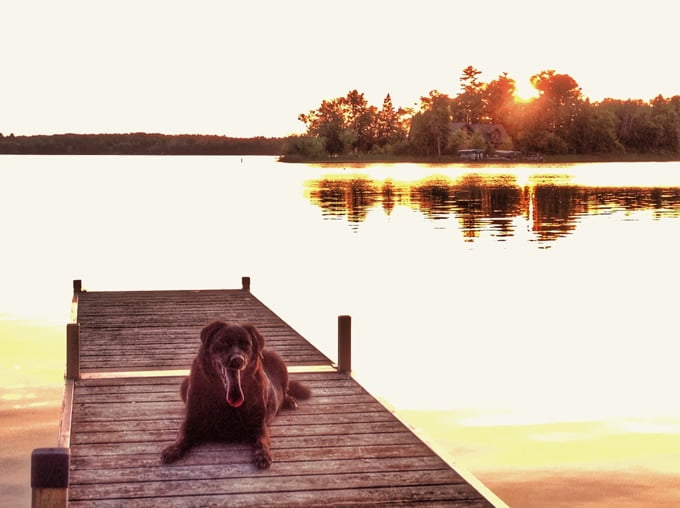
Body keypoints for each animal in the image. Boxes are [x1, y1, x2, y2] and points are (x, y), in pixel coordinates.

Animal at [161, 322, 312, 468]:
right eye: (223, 342)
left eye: (247, 345)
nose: (238, 360)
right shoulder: (191, 421)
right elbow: (182, 436)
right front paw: (173, 449)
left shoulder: (258, 425)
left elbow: (261, 442)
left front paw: (263, 455)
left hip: (281, 364)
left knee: (285, 390)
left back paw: (289, 401)